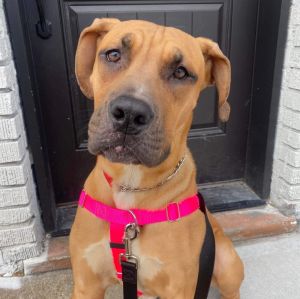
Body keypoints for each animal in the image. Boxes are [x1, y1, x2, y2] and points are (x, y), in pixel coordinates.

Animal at [70, 19, 244, 299]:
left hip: (227, 264)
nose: (130, 113)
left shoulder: (180, 288)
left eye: (181, 72)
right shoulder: (87, 284)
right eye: (113, 54)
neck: (131, 186)